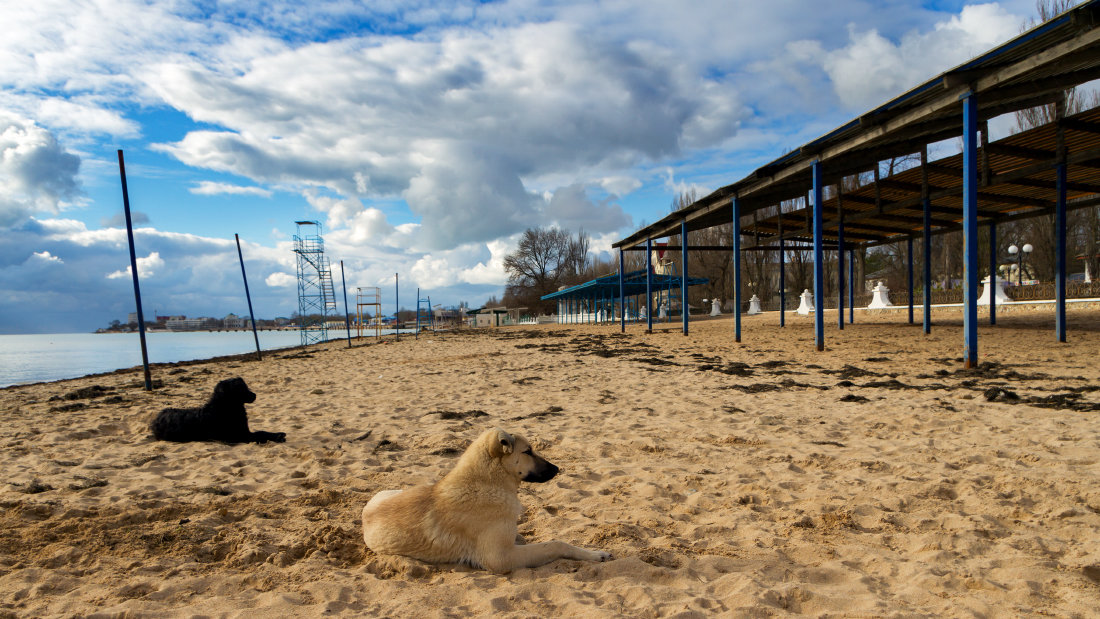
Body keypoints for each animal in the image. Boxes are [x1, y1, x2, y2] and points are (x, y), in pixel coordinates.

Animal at [150, 376, 288, 444]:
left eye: (245, 386)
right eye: (240, 388)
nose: (254, 395)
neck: (226, 407)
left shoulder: (244, 431)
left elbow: (262, 431)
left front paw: (278, 434)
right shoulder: (237, 436)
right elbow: (258, 435)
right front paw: (275, 438)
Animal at [365, 428, 616, 576]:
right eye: (528, 451)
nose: (557, 469)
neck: (487, 483)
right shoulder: (501, 559)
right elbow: (556, 544)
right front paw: (595, 554)